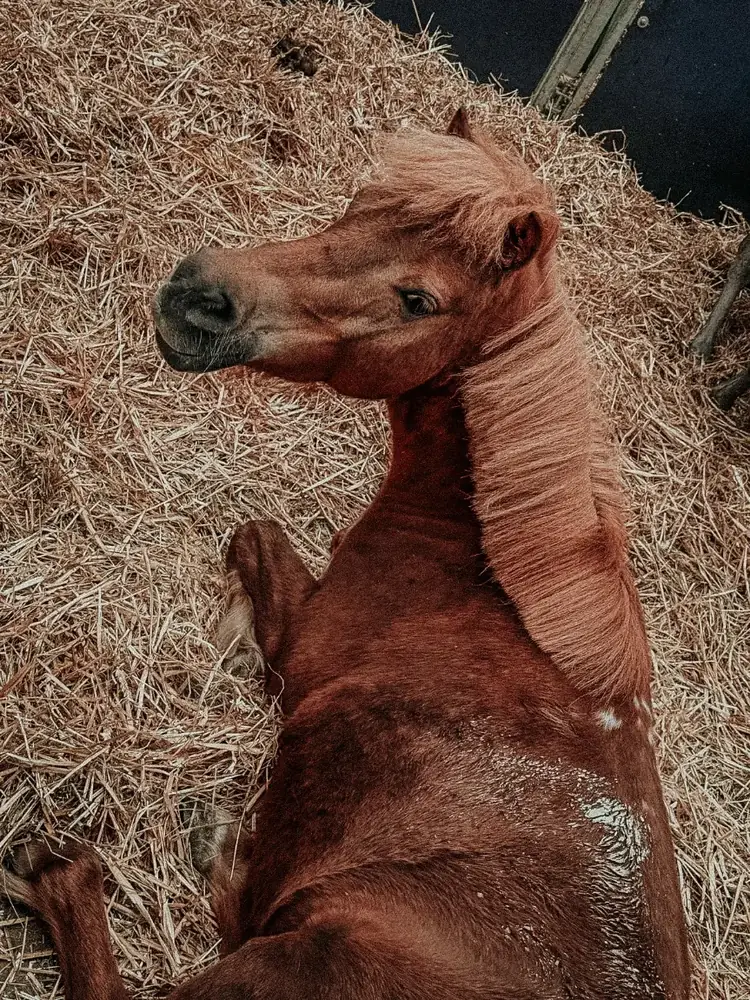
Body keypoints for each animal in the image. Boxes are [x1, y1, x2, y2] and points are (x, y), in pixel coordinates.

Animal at [2, 109, 690, 1000]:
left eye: (417, 299)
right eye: (360, 204)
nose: (199, 294)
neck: (487, 581)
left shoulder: (303, 643)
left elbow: (254, 538)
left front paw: (230, 636)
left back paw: (66, 870)